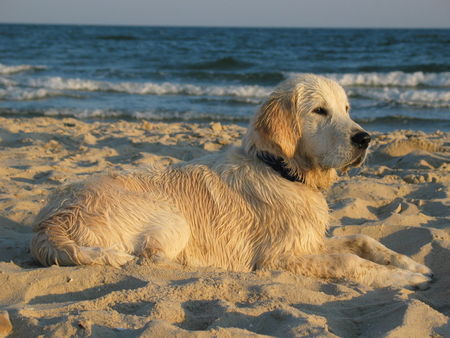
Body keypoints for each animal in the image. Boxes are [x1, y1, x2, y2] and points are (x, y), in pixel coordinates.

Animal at [30, 74, 432, 288]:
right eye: (320, 111)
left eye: (347, 109)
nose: (365, 139)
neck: (280, 169)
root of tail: (48, 225)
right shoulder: (279, 258)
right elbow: (349, 262)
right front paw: (403, 280)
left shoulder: (310, 241)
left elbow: (362, 240)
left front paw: (411, 266)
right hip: (173, 221)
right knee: (153, 260)